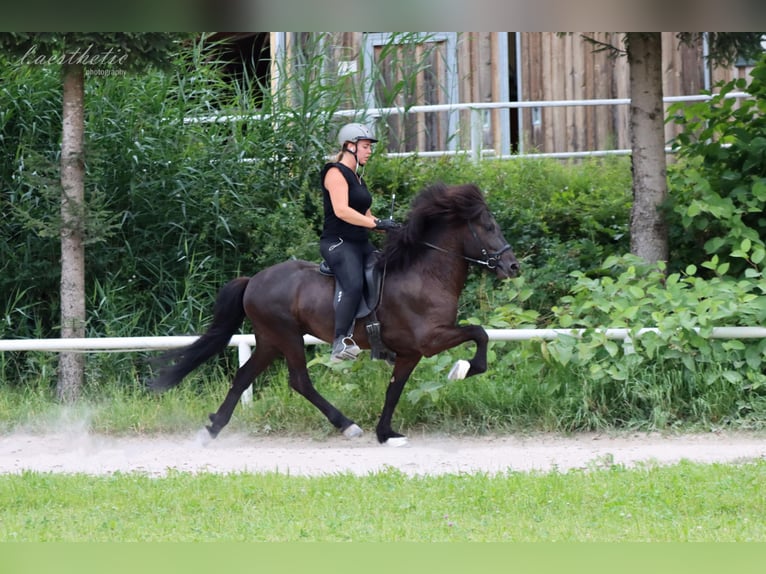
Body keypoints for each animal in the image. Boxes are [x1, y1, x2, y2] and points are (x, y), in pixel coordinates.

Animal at [148, 182, 520, 445]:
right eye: (489, 227)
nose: (513, 266)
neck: (424, 273)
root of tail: (253, 279)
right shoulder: (429, 339)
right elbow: (479, 333)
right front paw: (463, 369)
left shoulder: (410, 352)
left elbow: (394, 390)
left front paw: (386, 433)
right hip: (287, 336)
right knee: (299, 381)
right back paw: (347, 426)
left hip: (269, 339)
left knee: (242, 377)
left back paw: (211, 430)